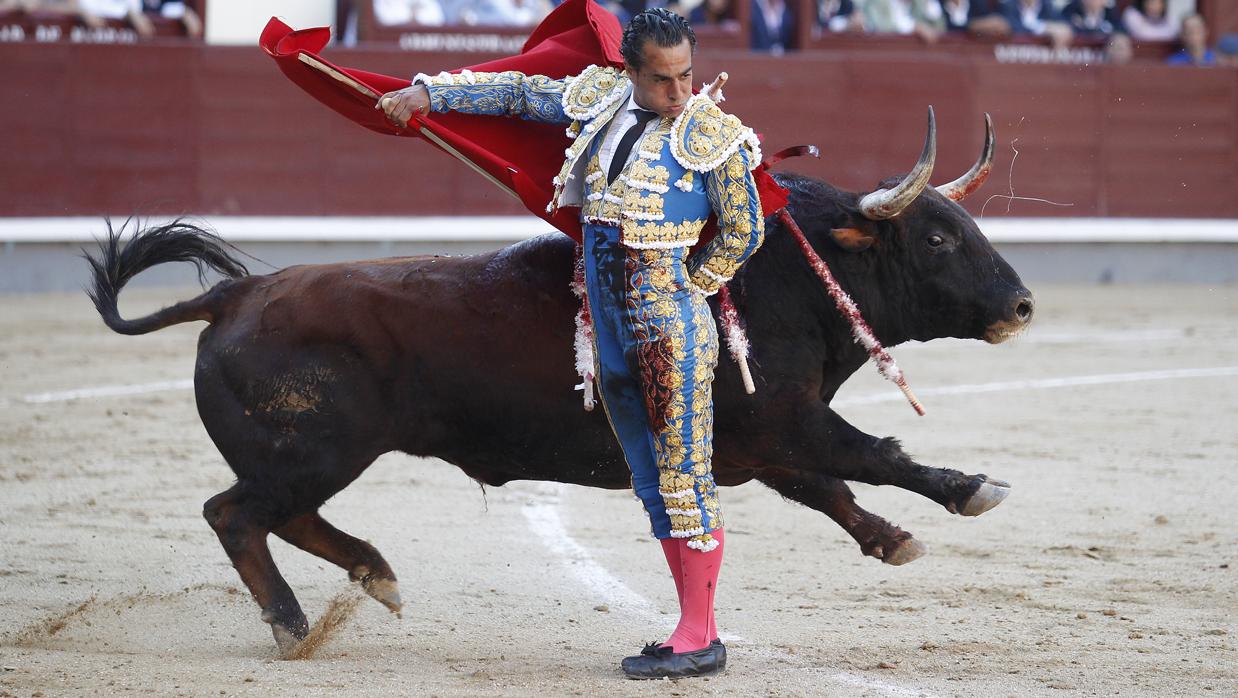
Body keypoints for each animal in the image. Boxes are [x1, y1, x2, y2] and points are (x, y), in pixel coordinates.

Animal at [89, 133, 1034, 658]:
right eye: (939, 237)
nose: (1023, 306)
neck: (784, 276)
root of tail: (237, 294)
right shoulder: (784, 420)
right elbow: (872, 454)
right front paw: (972, 489)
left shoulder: (761, 442)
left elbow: (834, 488)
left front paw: (895, 539)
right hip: (314, 450)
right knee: (235, 514)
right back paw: (292, 626)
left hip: (313, 458)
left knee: (279, 516)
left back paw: (376, 577)